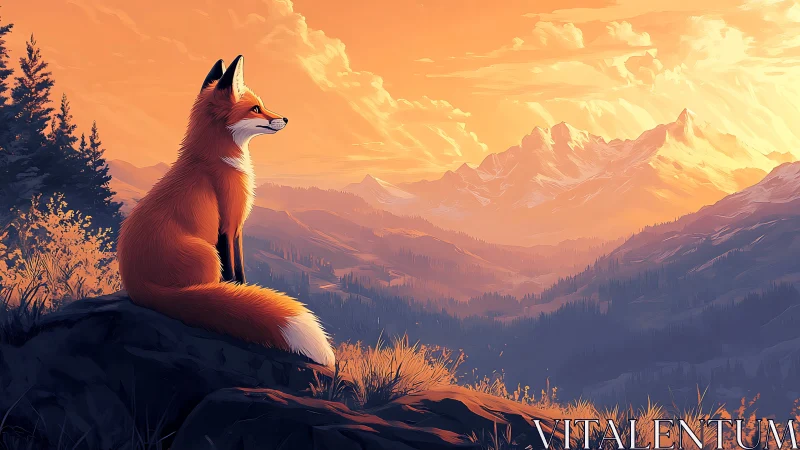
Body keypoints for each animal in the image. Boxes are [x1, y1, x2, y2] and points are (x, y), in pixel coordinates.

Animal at [117, 55, 335, 368]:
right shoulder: (228, 226)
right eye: (256, 108)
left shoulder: (238, 229)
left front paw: (245, 292)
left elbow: (241, 270)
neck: (216, 159)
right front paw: (241, 294)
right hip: (208, 255)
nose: (286, 118)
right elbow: (234, 273)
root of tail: (139, 287)